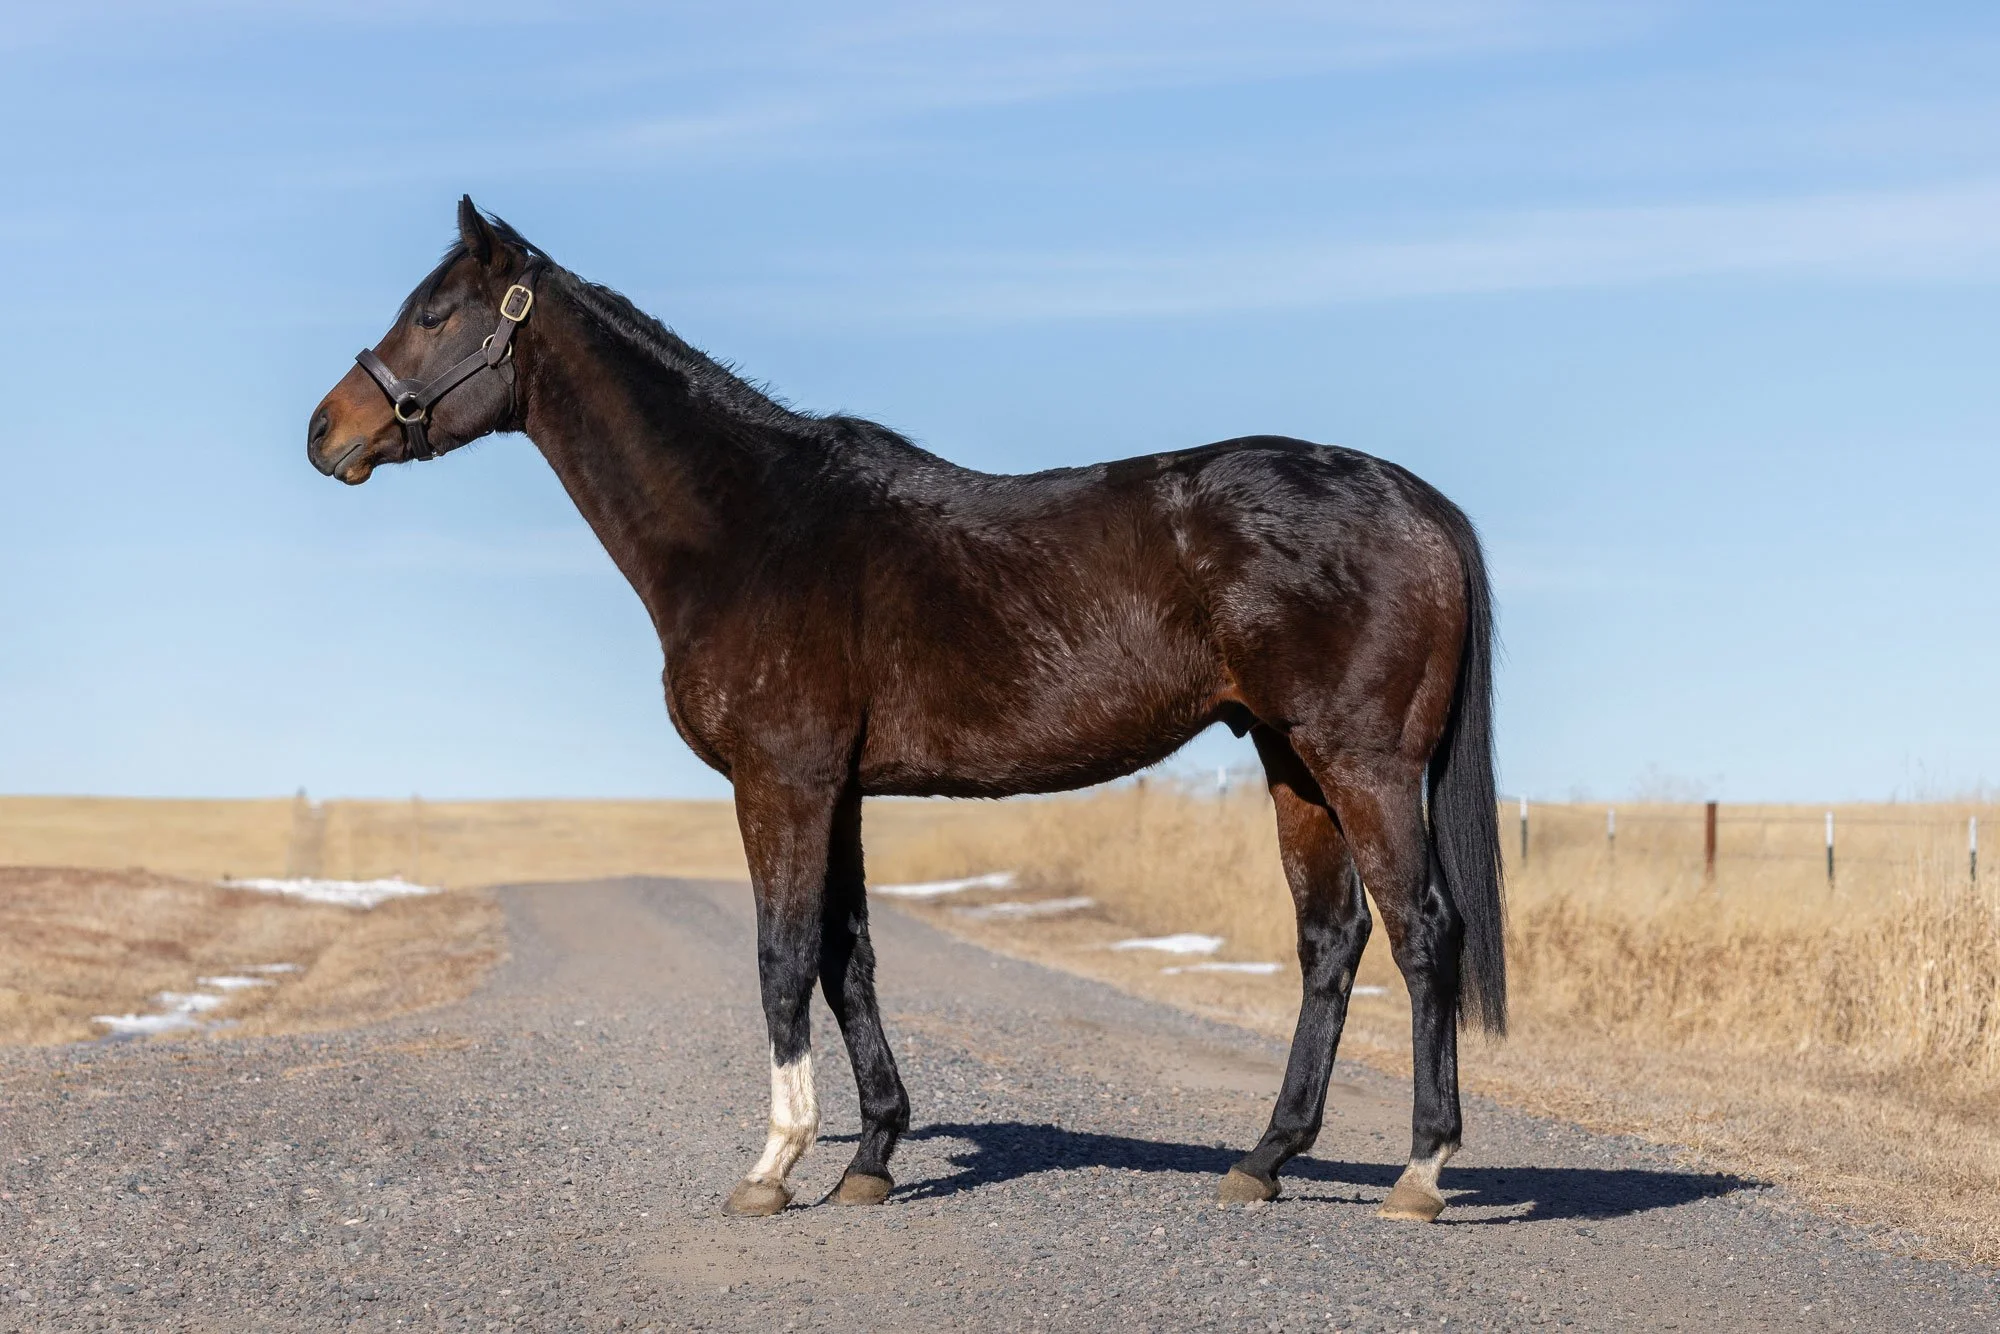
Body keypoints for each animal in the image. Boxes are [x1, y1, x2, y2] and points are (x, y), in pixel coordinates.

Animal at [307, 197, 1506, 1224]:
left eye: (433, 312)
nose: (327, 431)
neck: (751, 528)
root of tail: (1415, 498)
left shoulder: (782, 780)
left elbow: (782, 956)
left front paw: (775, 1164)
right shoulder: (834, 788)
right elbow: (849, 959)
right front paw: (873, 1157)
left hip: (1360, 762)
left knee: (1422, 933)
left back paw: (1420, 1170)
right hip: (1290, 760)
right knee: (1330, 939)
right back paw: (1263, 1159)